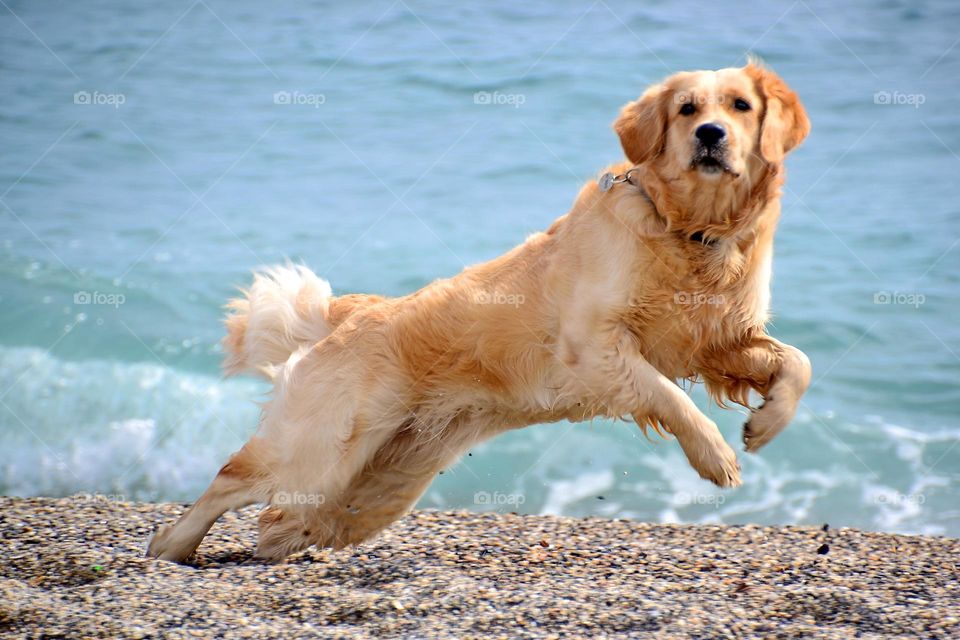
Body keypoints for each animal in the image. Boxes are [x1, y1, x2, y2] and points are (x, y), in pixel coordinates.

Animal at [148, 58, 808, 560]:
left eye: (740, 107)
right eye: (688, 110)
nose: (711, 136)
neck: (690, 230)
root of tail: (349, 311)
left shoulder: (720, 339)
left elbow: (796, 363)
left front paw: (765, 423)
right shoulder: (595, 346)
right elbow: (670, 397)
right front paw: (716, 456)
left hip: (379, 484)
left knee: (284, 523)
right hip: (324, 452)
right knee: (236, 480)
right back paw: (171, 546)